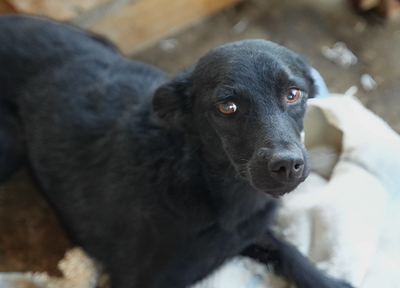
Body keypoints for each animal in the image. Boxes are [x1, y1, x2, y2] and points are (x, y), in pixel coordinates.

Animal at [0, 15, 352, 288]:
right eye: (227, 107)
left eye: (293, 94)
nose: (287, 165)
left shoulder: (243, 234)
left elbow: (286, 249)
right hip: (11, 146)